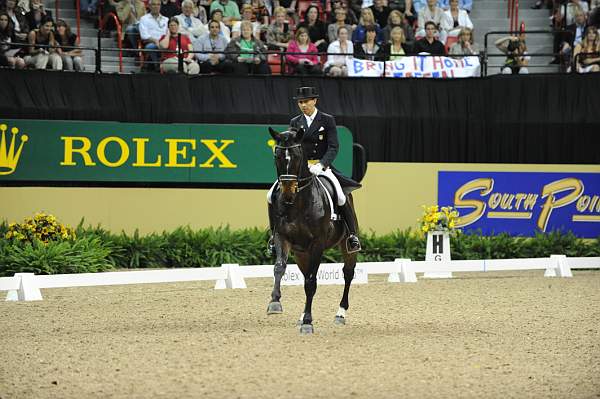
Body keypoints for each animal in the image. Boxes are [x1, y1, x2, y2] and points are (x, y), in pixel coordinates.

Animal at [266, 127, 358, 334]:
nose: (287, 194)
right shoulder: (282, 236)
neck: (298, 203)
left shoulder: (318, 244)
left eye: (297, 156)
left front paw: (308, 322)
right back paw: (301, 316)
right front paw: (275, 303)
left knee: (348, 273)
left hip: (346, 244)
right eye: (276, 156)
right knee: (305, 273)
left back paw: (340, 314)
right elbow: (279, 267)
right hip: (301, 252)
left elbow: (311, 282)